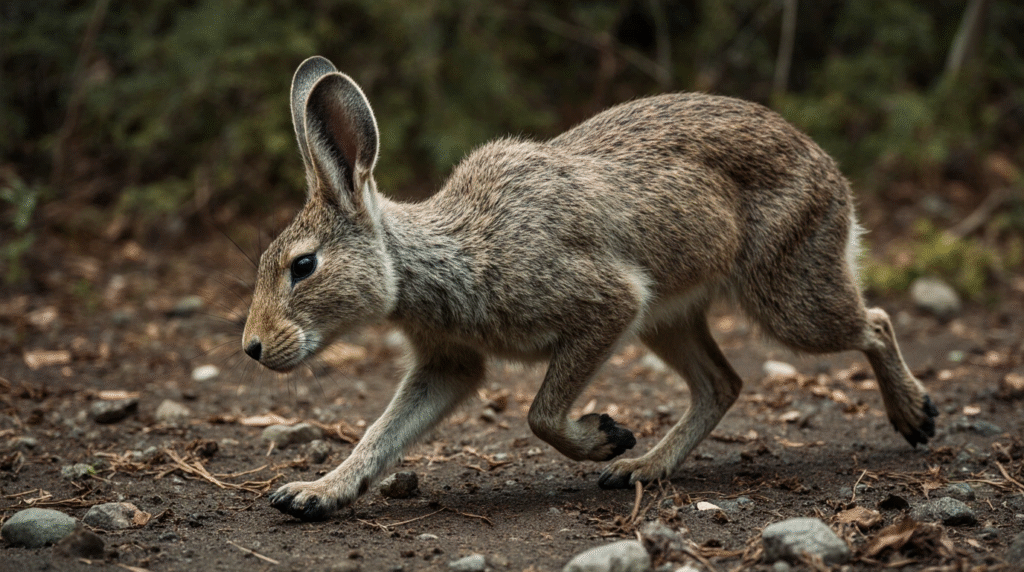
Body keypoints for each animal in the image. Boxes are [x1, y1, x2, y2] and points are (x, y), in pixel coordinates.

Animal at [242, 55, 938, 521]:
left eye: (303, 266)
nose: (253, 348)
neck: (444, 256)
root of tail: (827, 167)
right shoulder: (448, 364)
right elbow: (380, 434)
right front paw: (315, 493)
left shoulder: (608, 304)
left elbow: (541, 414)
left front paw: (605, 435)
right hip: (669, 319)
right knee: (723, 383)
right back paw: (642, 468)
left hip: (785, 298)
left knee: (874, 323)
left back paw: (914, 415)